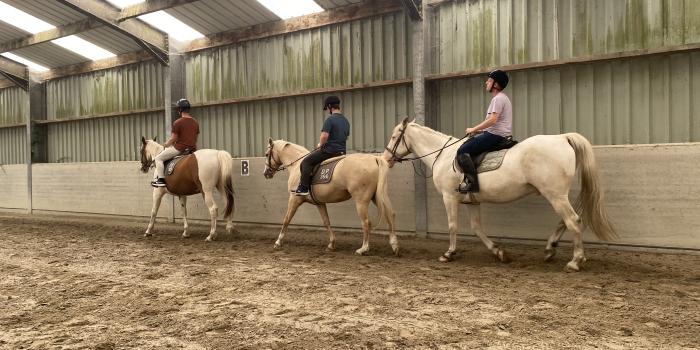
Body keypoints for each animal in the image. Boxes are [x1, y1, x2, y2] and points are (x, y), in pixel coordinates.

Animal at [264, 138, 400, 256]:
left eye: (266, 154)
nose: (266, 173)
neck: (296, 165)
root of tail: (374, 159)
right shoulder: (320, 203)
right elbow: (326, 222)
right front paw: (331, 244)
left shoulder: (294, 199)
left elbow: (286, 219)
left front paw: (278, 242)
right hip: (377, 196)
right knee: (391, 214)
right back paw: (394, 245)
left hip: (361, 201)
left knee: (366, 222)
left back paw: (363, 249)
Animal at [382, 117, 616, 270]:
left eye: (394, 137)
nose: (386, 159)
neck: (444, 154)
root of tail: (562, 138)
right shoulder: (472, 201)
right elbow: (477, 228)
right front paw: (499, 252)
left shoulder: (449, 197)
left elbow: (453, 226)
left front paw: (449, 254)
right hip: (556, 195)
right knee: (568, 220)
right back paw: (551, 249)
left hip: (555, 195)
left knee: (573, 221)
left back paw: (575, 261)